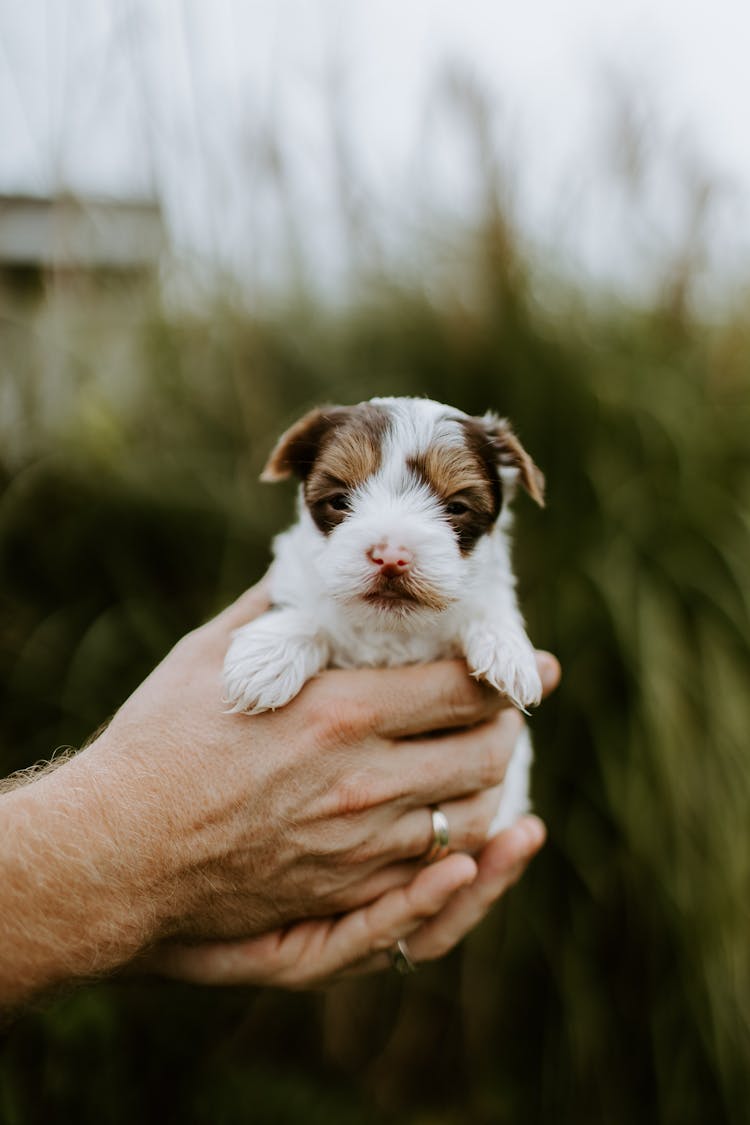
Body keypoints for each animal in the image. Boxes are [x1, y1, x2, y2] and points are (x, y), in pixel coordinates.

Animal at [222, 398, 546, 837]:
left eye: (456, 507)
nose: (392, 556)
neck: (391, 629)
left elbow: (489, 607)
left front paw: (508, 655)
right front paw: (263, 662)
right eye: (340, 501)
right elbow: (304, 612)